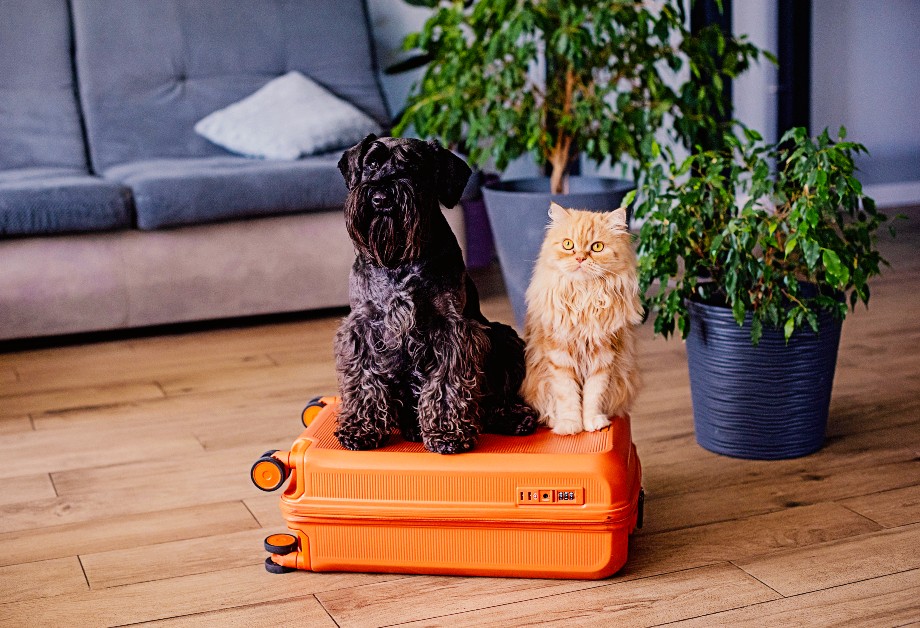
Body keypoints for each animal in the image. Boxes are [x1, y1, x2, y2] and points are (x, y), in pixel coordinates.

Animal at [336, 136, 540, 452]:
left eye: (414, 166)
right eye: (371, 163)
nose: (381, 197)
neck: (399, 259)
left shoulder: (449, 328)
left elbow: (445, 382)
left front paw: (447, 433)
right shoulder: (363, 326)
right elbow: (364, 377)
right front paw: (360, 428)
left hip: (505, 337)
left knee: (495, 400)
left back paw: (513, 417)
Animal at [520, 204, 644, 434]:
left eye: (597, 247)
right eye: (568, 244)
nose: (580, 258)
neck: (584, 296)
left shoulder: (604, 356)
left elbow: (593, 395)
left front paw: (593, 422)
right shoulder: (559, 355)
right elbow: (567, 395)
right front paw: (570, 425)